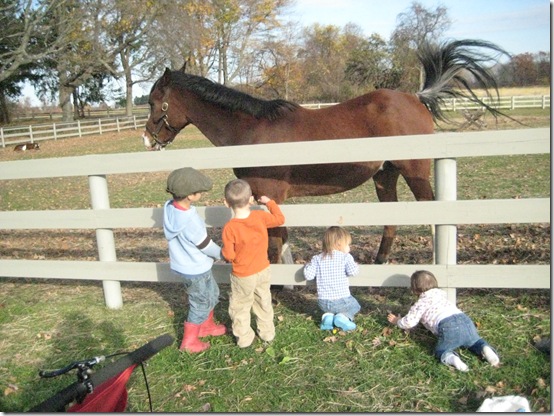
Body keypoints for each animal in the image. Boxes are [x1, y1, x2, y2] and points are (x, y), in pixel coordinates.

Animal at [144, 38, 506, 264]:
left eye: (154, 101)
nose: (148, 140)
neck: (253, 129)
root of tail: (416, 97)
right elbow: (282, 238)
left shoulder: (267, 193)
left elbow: (274, 243)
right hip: (384, 176)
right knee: (392, 221)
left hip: (414, 172)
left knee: (432, 215)